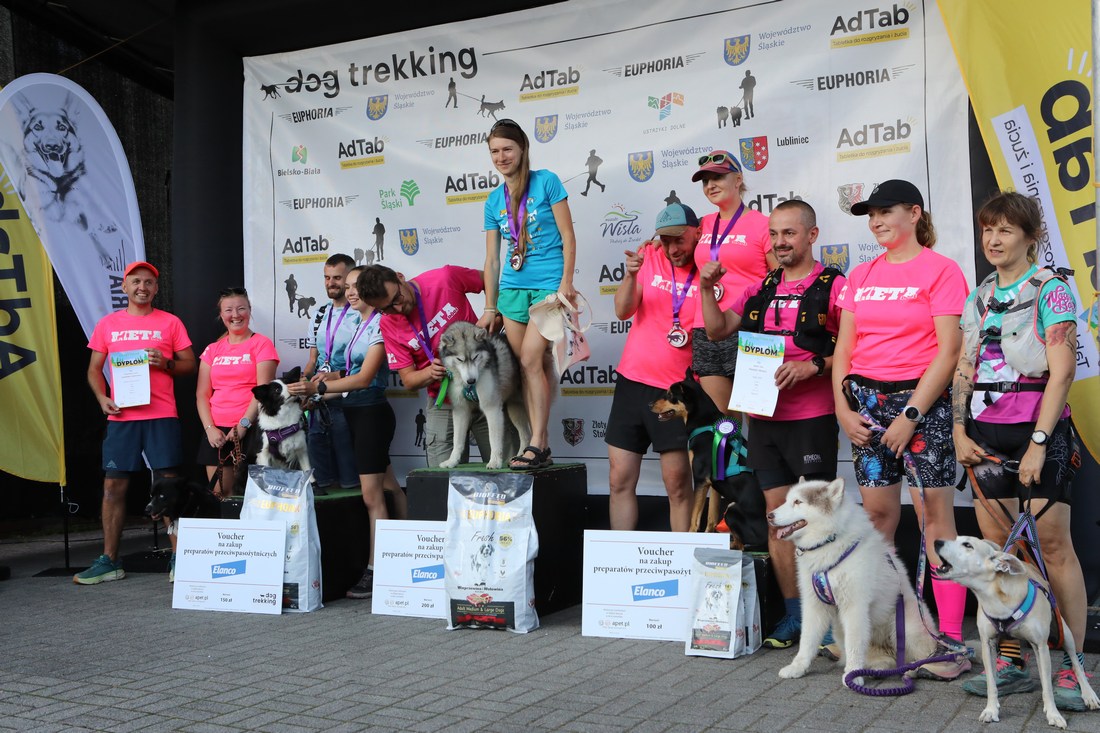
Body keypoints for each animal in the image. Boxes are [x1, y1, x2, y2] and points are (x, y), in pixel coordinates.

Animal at [437, 321, 531, 470]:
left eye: (475, 357)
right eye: (459, 359)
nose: (471, 381)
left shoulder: (492, 408)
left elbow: (493, 439)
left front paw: (495, 462)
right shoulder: (460, 410)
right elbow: (457, 440)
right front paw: (452, 461)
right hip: (515, 409)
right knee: (525, 435)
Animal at [650, 367, 767, 546]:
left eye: (670, 395)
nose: (650, 405)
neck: (705, 423)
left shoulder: (700, 479)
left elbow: (694, 518)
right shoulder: (712, 481)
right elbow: (711, 513)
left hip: (732, 510)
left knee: (742, 545)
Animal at [769, 477, 939, 686]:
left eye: (798, 502)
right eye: (786, 500)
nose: (769, 516)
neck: (830, 542)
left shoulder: (854, 608)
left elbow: (854, 645)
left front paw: (853, 674)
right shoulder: (813, 605)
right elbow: (807, 640)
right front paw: (798, 667)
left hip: (906, 627)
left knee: (920, 657)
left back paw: (914, 669)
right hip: (840, 630)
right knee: (888, 660)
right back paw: (878, 669)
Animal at [934, 537, 1100, 728]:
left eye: (968, 545)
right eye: (956, 539)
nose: (937, 542)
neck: (995, 597)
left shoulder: (1041, 646)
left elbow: (1048, 688)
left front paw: (1053, 714)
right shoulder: (987, 644)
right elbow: (991, 683)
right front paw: (991, 710)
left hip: (1066, 634)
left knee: (1076, 662)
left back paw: (1088, 693)